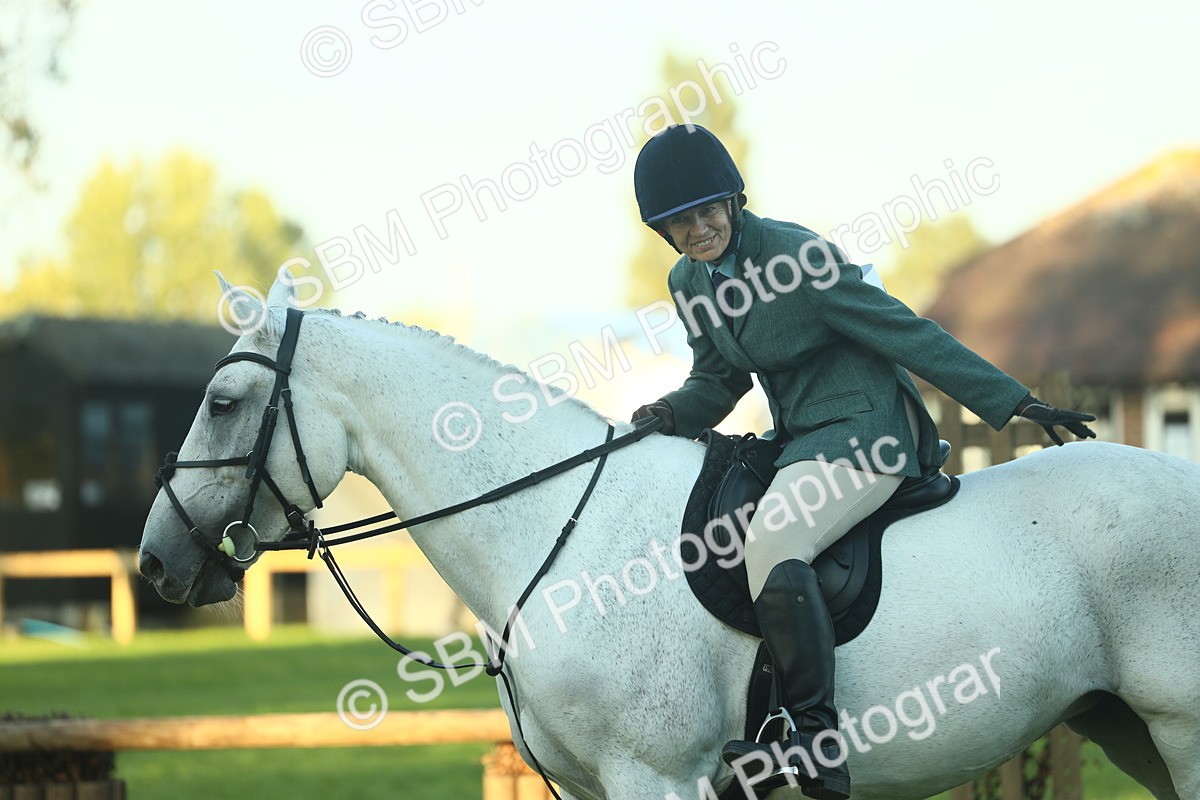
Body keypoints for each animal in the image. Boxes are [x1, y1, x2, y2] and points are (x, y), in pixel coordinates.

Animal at [139, 272, 1200, 800]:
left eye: (223, 402)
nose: (157, 561)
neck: (553, 533)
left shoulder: (655, 778)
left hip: (1180, 726)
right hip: (1127, 726)